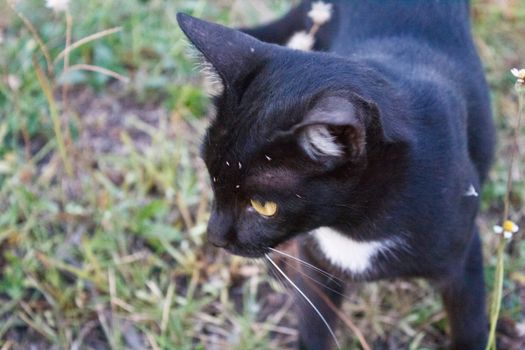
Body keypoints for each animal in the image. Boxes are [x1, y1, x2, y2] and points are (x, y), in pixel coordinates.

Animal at [178, 1, 494, 348]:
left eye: (264, 207)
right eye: (213, 179)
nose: (214, 237)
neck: (353, 226)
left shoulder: (464, 258)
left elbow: (469, 324)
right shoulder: (316, 263)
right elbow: (315, 323)